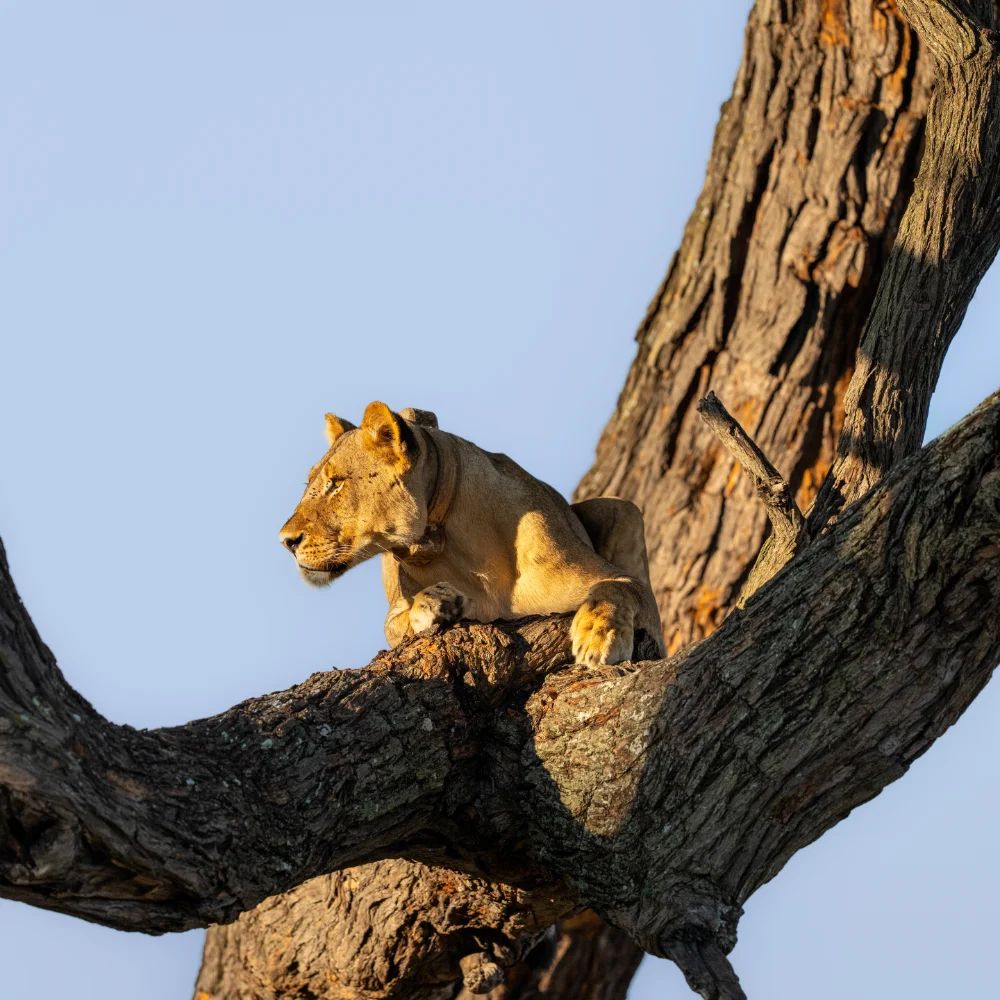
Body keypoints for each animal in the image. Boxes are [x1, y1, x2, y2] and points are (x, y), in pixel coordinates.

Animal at [279, 402, 665, 666]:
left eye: (336, 483)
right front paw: (435, 602)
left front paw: (598, 639)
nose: (285, 541)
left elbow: (616, 588)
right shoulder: (395, 612)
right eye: (310, 482)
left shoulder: (616, 579)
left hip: (624, 508)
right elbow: (397, 624)